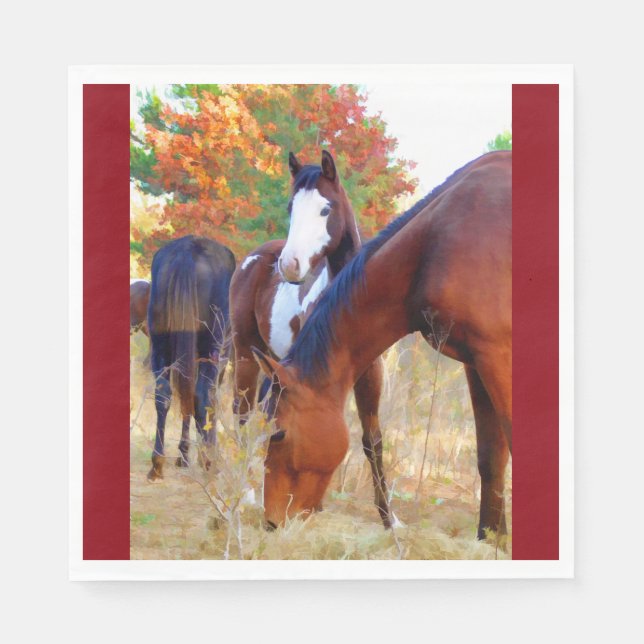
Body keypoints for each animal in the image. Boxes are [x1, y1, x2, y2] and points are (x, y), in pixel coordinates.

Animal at [147, 235, 236, 481]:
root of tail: (188, 251)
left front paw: (183, 455)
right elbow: (209, 399)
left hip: (160, 346)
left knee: (164, 394)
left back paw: (157, 464)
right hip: (211, 348)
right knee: (202, 395)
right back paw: (208, 460)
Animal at [230, 151, 394, 527]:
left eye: (325, 209)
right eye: (292, 207)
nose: (289, 265)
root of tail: (255, 257)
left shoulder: (368, 376)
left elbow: (372, 441)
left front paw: (389, 518)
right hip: (245, 355)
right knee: (242, 413)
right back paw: (245, 493)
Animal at [252, 151, 512, 539]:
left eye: (280, 434)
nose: (272, 522)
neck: (435, 245)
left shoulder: (497, 357)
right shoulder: (476, 363)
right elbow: (491, 457)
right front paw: (491, 539)